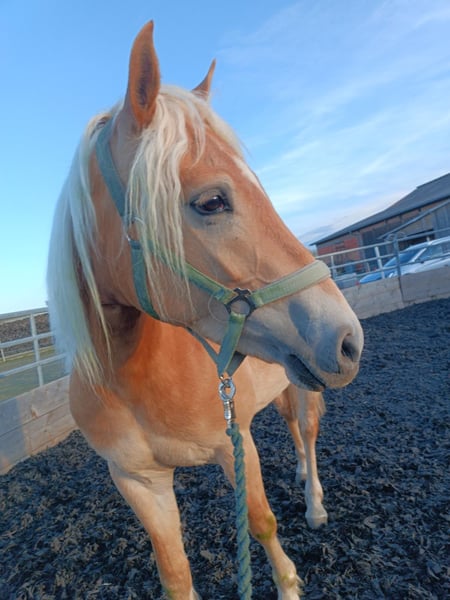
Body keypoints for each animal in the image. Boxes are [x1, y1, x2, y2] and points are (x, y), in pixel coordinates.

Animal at [47, 21, 363, 600]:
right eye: (212, 202)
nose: (348, 338)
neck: (129, 375)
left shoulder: (234, 442)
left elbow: (260, 522)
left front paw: (289, 585)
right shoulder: (138, 482)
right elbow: (174, 573)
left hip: (303, 388)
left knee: (307, 436)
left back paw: (314, 503)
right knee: (293, 430)